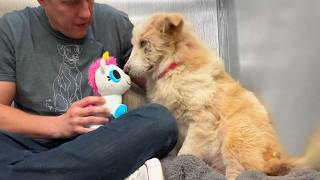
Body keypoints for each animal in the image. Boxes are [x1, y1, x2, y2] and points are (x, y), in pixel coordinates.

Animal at [123, 13, 320, 180]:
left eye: (144, 43)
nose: (124, 69)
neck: (174, 67)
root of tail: (275, 158)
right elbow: (176, 149)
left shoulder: (201, 121)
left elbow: (185, 152)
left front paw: (181, 162)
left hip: (234, 136)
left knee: (242, 172)